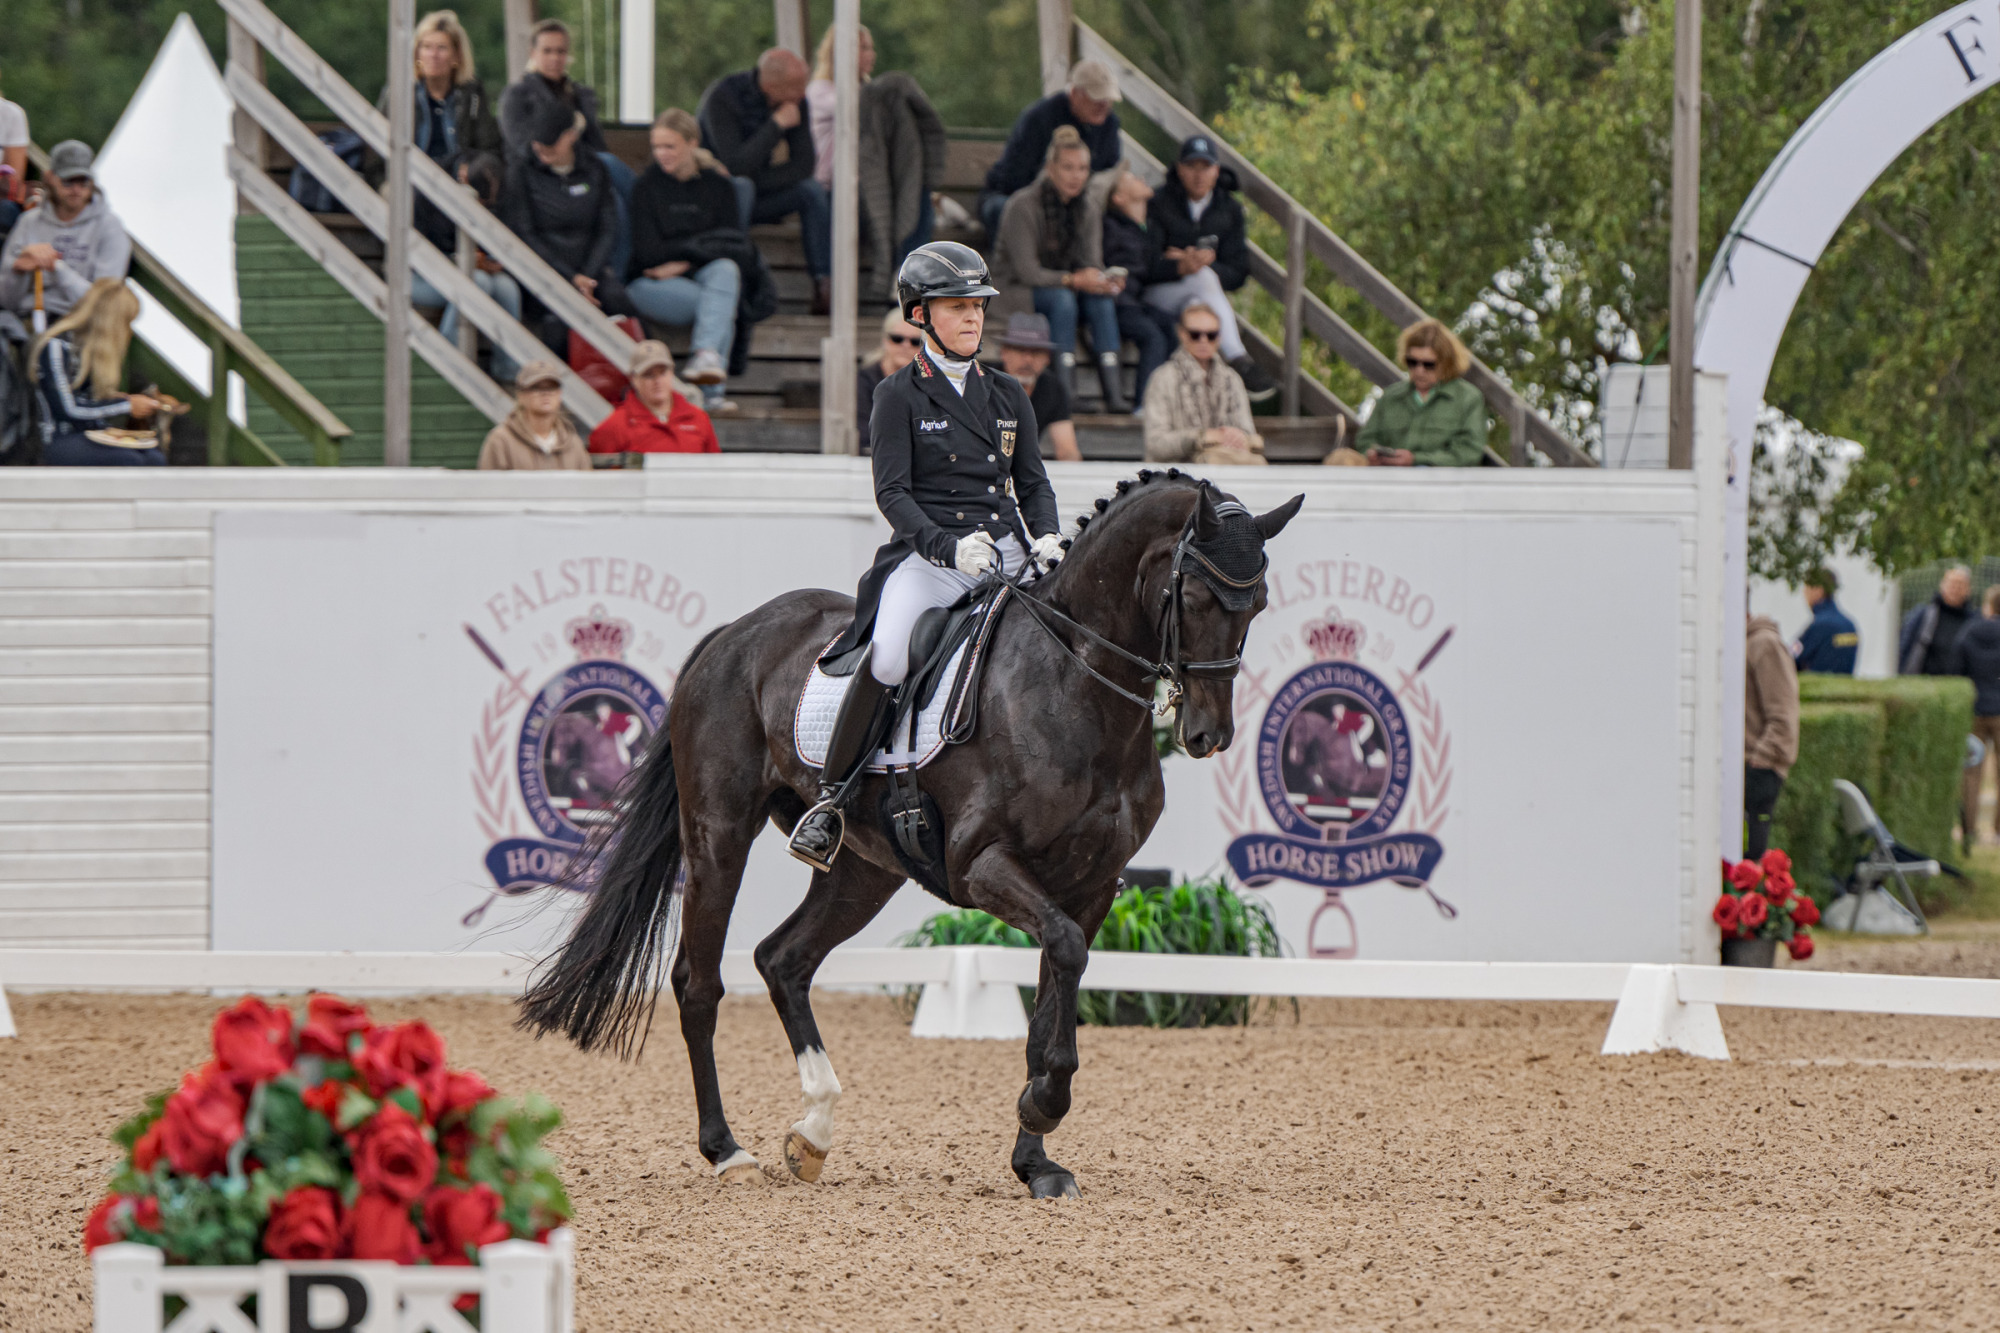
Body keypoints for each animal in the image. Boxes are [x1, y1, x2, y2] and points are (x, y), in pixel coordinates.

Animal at [518, 471, 1303, 1199]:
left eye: (1258, 603)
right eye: (1193, 596)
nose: (1207, 735)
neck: (1075, 685)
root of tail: (735, 633)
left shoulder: (1092, 887)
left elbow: (1054, 985)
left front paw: (1036, 1157)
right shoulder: (983, 865)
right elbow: (1063, 956)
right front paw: (1044, 1107)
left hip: (866, 868)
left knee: (783, 959)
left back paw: (813, 1129)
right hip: (719, 834)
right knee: (698, 981)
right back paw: (726, 1149)